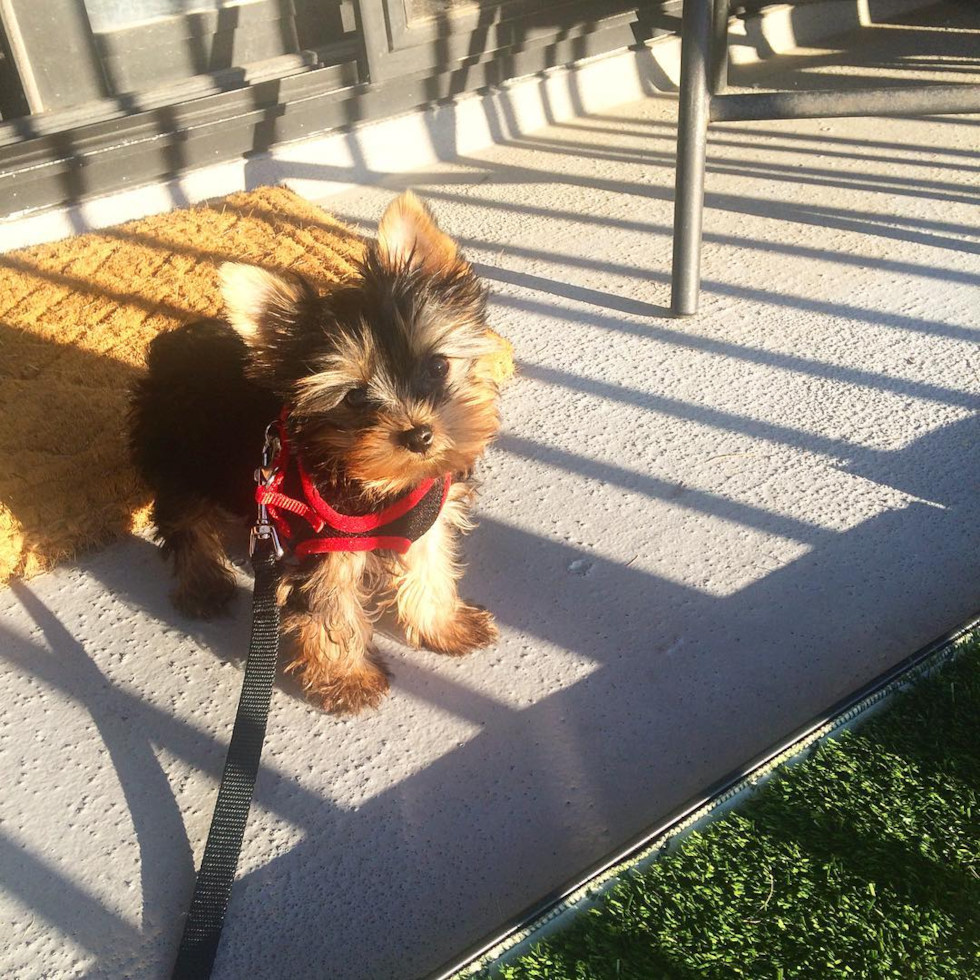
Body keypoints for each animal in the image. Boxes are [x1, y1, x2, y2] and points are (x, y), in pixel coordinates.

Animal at [129, 191, 506, 712]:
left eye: (436, 366)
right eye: (355, 397)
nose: (418, 436)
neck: (379, 480)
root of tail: (174, 348)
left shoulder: (429, 519)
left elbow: (430, 567)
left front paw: (443, 625)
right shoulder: (327, 544)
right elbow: (331, 606)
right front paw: (346, 679)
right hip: (183, 453)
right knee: (184, 519)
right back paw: (202, 583)